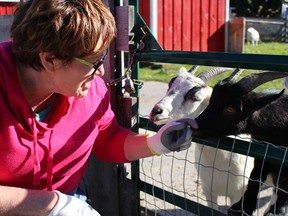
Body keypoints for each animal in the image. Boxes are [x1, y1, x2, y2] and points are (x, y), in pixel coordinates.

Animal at [195, 70, 288, 215]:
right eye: (211, 101)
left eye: (230, 109)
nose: (194, 126)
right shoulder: (263, 153)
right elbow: (254, 177)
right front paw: (242, 207)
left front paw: (276, 211)